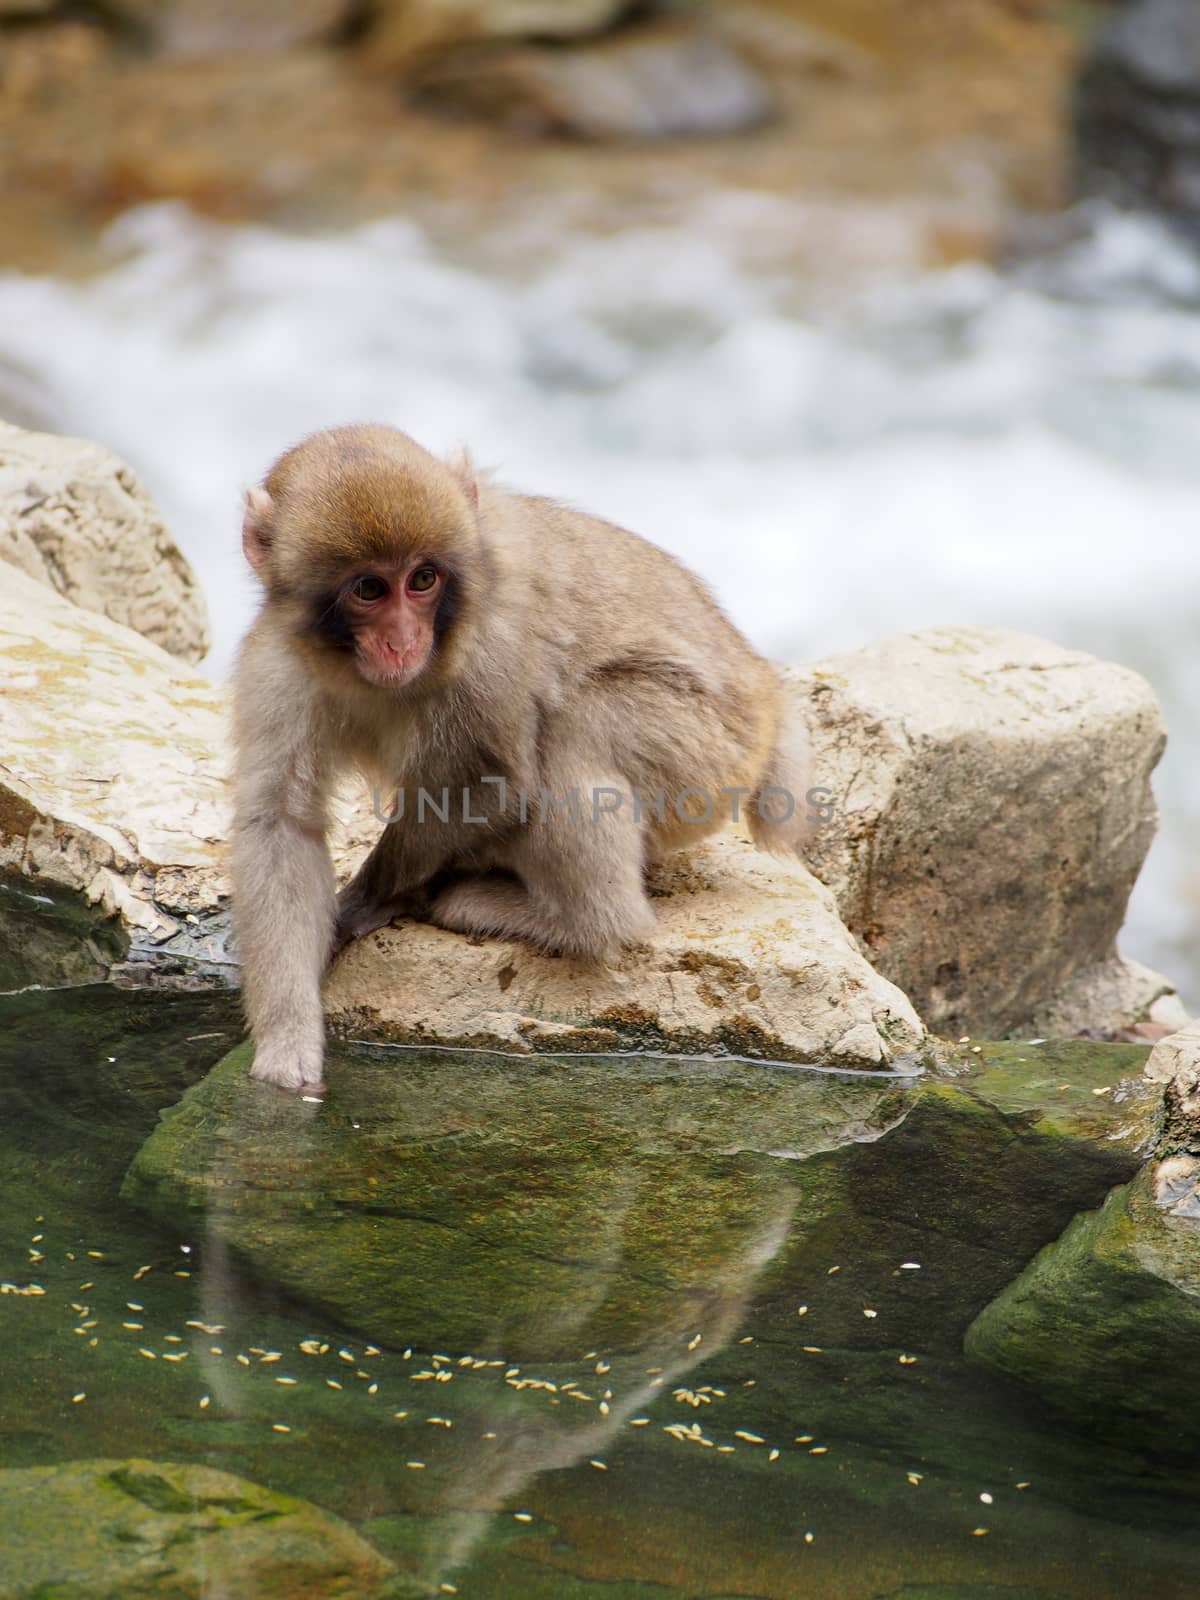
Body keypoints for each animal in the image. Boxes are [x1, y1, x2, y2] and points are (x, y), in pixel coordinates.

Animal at [227, 425, 809, 1088]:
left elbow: (492, 787)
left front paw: (363, 903)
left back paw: (573, 920)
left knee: (575, 727)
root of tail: (766, 694)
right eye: (369, 588)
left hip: (707, 753)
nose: (403, 642)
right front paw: (288, 1038)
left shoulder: (490, 645)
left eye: (422, 580)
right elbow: (280, 823)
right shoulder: (280, 664)